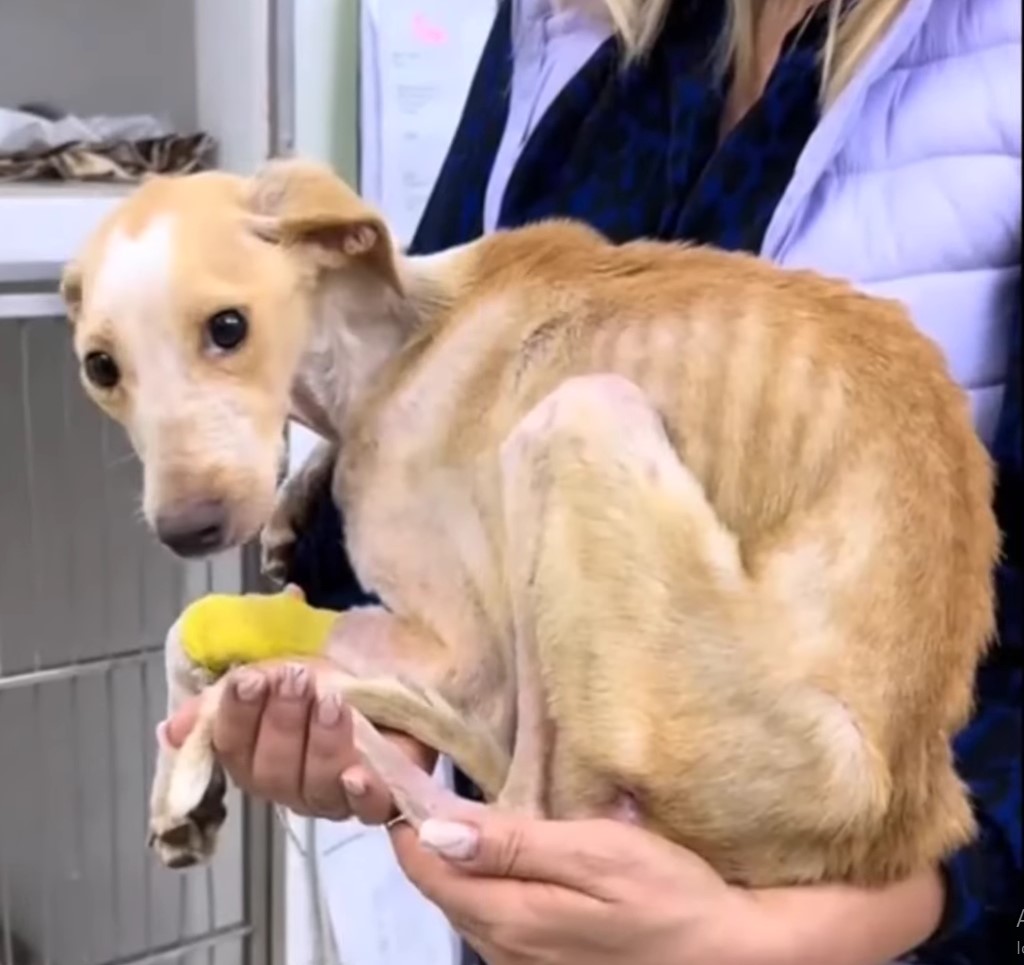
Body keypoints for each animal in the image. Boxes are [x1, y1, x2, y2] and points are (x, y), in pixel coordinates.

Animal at [59, 160, 995, 893]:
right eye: (100, 368)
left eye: (229, 326)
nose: (188, 529)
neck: (395, 346)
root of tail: (889, 818)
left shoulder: (465, 655)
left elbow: (201, 627)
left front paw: (193, 752)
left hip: (576, 420)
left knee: (519, 799)